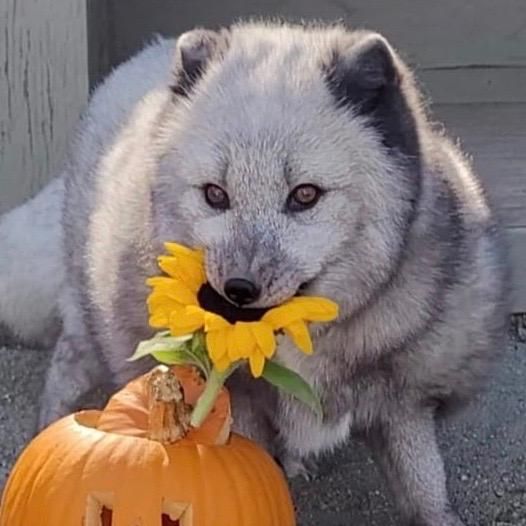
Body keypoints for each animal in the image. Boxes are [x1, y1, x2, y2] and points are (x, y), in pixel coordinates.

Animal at [1, 21, 512, 526]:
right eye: (215, 194)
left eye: (305, 195)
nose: (237, 292)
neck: (300, 347)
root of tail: (146, 53)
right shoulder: (239, 406)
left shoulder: (405, 403)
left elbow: (425, 488)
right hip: (91, 325)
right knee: (65, 365)